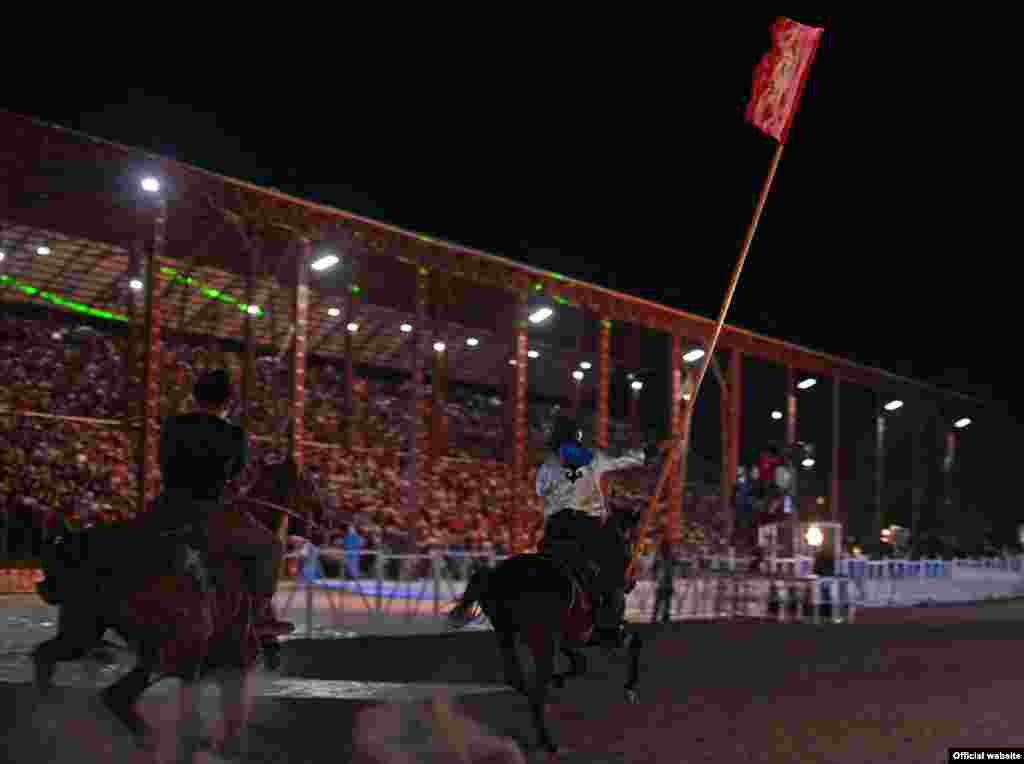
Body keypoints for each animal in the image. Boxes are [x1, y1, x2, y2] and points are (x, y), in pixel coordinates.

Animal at [32, 454, 317, 757]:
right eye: (310, 486)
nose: (317, 523)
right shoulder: (231, 661)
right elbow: (226, 714)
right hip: (170, 650)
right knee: (117, 694)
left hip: (85, 634)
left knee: (49, 659)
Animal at [452, 505, 643, 749]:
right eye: (630, 538)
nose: (632, 581)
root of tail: (498, 575)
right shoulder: (603, 631)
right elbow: (632, 640)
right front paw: (630, 689)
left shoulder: (573, 639)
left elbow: (580, 663)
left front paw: (559, 679)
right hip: (541, 640)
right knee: (535, 685)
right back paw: (548, 741)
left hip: (506, 633)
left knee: (517, 678)